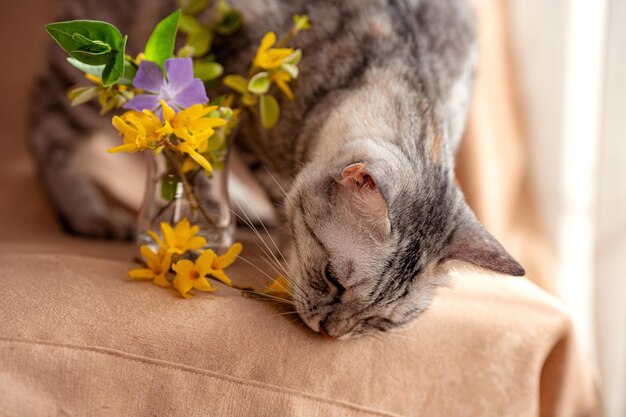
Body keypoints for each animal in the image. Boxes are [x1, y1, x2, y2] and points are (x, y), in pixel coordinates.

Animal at [31, 0, 524, 338]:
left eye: (380, 322)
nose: (332, 334)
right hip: (98, 67)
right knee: (44, 125)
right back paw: (88, 213)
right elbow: (215, 170)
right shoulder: (229, 95)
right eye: (332, 280)